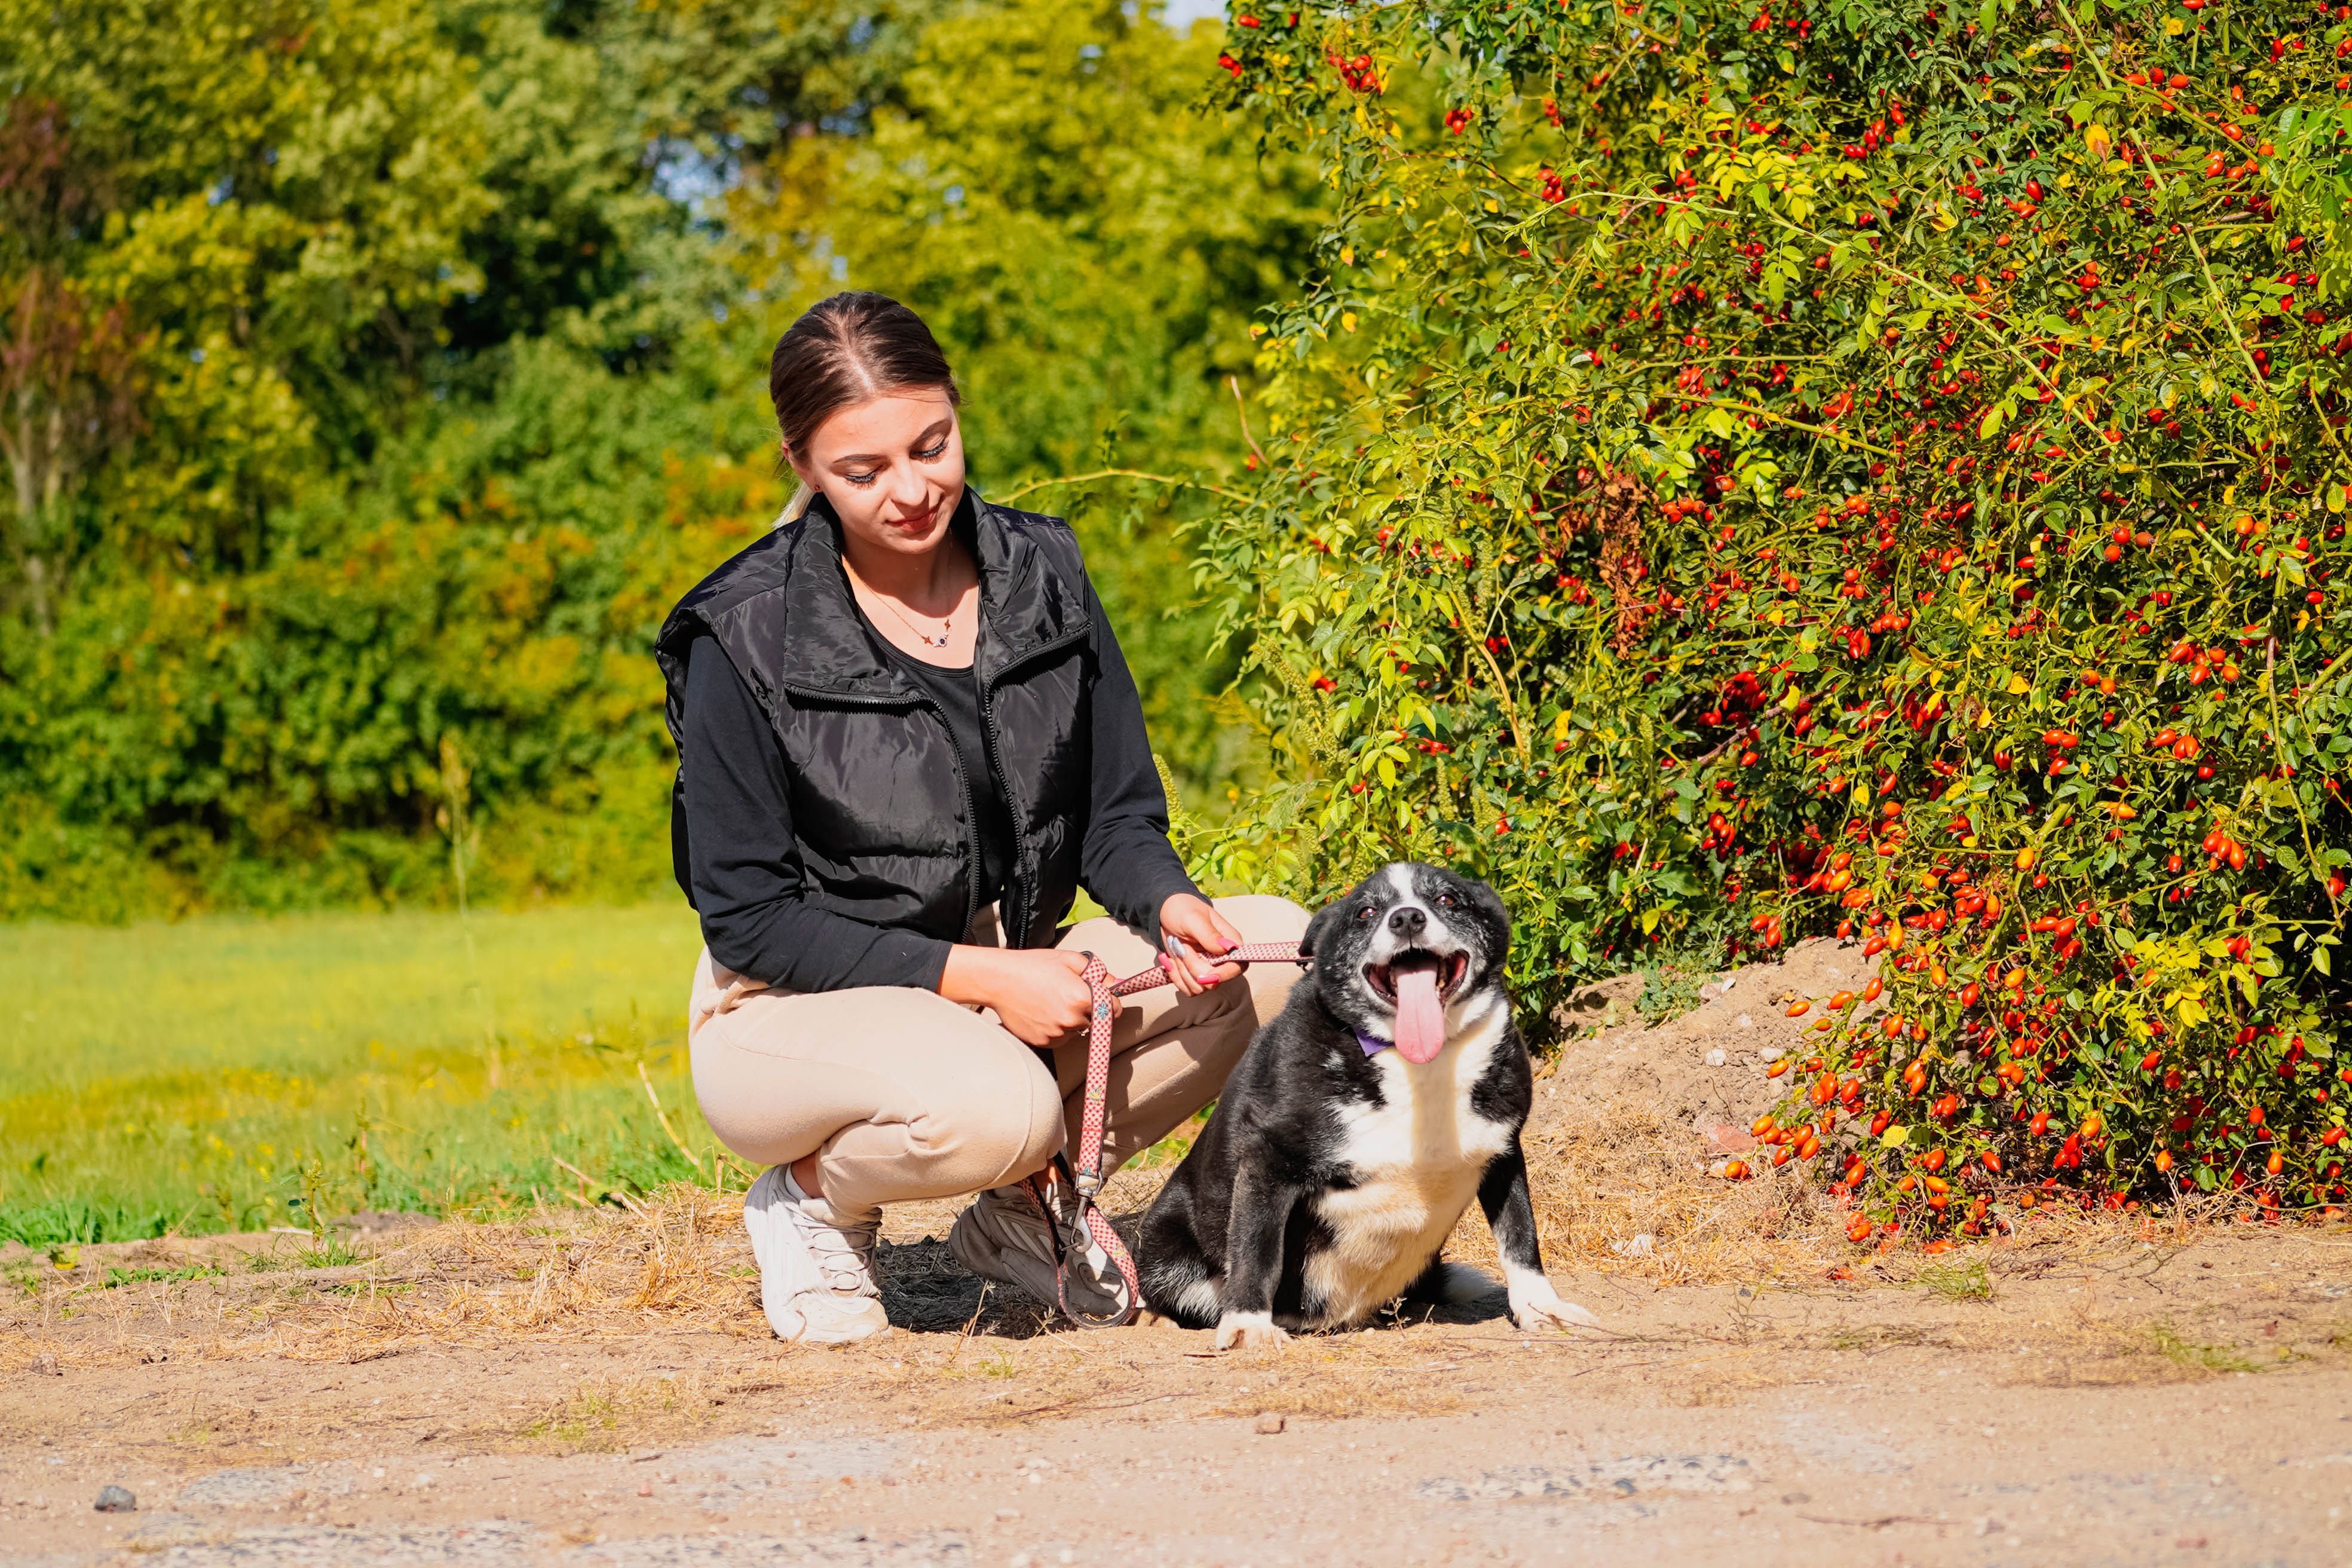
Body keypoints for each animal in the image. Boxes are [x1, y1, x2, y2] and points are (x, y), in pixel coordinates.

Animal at [1129, 860, 1590, 1354]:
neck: (1416, 1063)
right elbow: (1257, 1250)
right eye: (1366, 912)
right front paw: (1250, 1324)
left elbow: (1520, 1236)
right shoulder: (1268, 1161)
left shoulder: (1503, 1151)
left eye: (1448, 899)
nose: (1407, 919)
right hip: (1162, 1246)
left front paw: (1540, 1305)